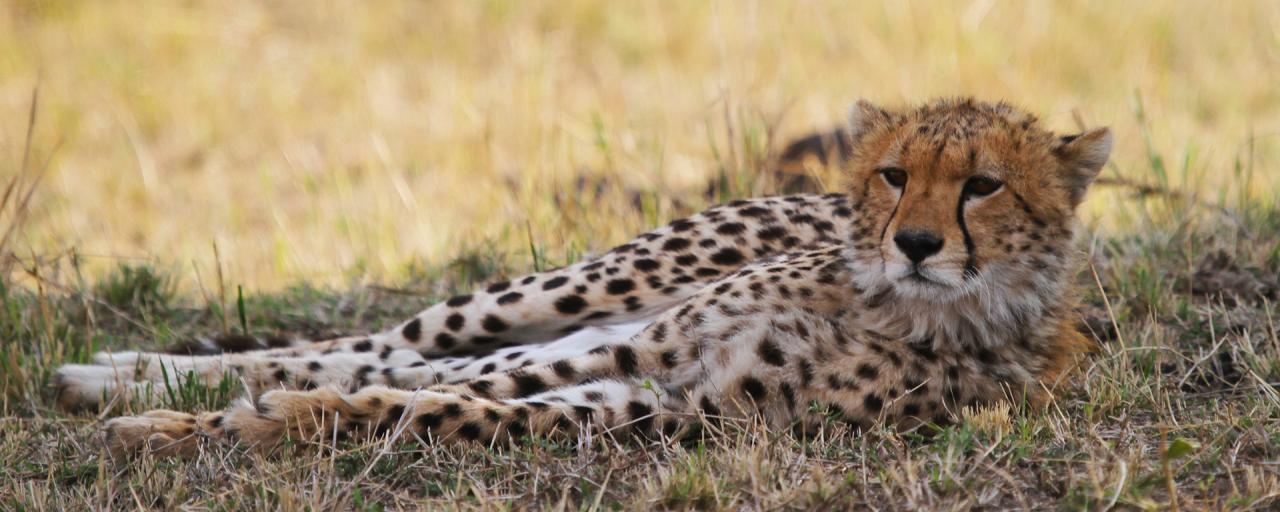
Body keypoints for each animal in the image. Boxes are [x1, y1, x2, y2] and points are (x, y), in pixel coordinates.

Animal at [55, 97, 1105, 458]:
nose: (917, 242)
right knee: (388, 342)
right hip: (587, 290)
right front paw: (178, 421)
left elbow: (433, 408)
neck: (894, 306)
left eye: (982, 185)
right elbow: (406, 386)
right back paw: (118, 373)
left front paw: (256, 425)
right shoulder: (645, 348)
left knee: (400, 364)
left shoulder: (670, 404)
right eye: (894, 173)